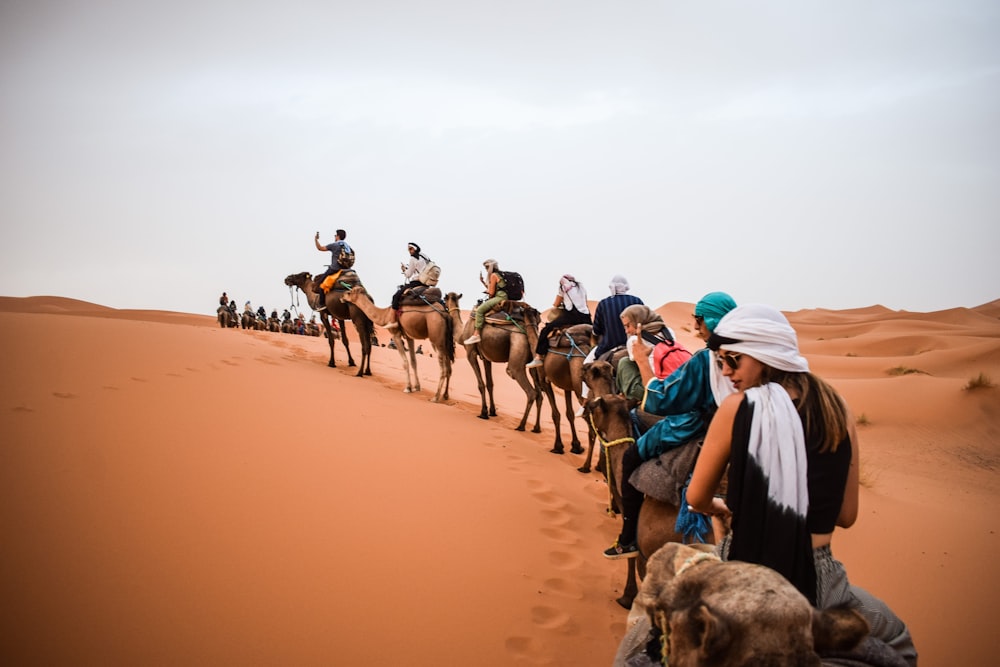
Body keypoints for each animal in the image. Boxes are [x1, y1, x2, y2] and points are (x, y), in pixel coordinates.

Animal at [458, 298, 544, 434]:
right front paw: (492, 411)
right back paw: (536, 428)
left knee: (530, 391)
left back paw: (521, 426)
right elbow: (490, 384)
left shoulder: (470, 353)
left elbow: (481, 384)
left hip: (517, 354)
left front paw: (483, 412)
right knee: (539, 394)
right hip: (533, 359)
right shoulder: (486, 357)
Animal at [540, 322, 592, 456]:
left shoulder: (544, 381)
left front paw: (558, 446)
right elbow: (570, 413)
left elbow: (555, 414)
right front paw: (576, 446)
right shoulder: (567, 387)